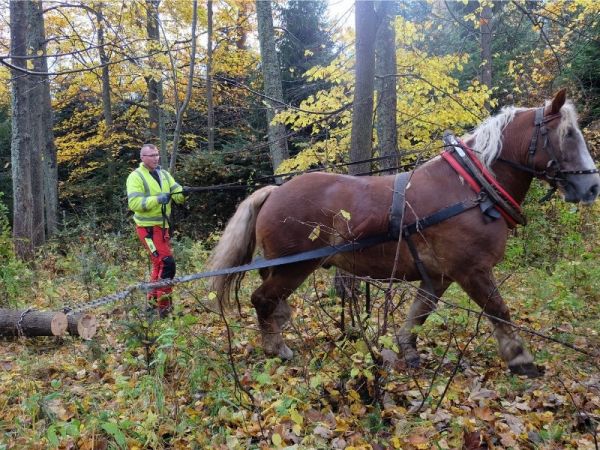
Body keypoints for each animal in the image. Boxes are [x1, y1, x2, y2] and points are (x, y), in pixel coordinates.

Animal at [207, 89, 600, 378]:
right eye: (567, 135)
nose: (592, 186)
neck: (471, 187)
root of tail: (274, 191)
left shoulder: (440, 274)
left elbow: (419, 312)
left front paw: (405, 349)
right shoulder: (472, 270)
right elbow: (499, 311)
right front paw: (520, 359)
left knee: (272, 303)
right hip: (294, 267)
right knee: (262, 299)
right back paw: (277, 349)